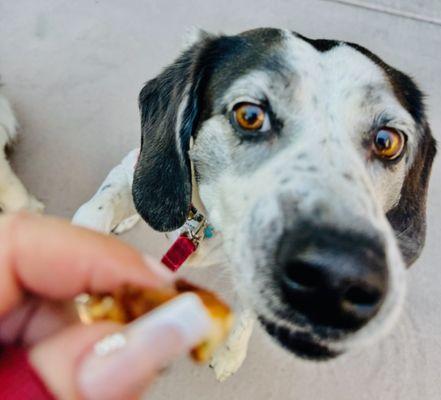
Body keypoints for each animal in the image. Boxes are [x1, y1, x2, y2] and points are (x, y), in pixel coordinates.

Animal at [71, 28, 434, 382]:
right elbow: (96, 212)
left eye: (387, 141)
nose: (336, 276)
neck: (206, 223)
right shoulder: (126, 177)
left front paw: (230, 353)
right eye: (249, 116)